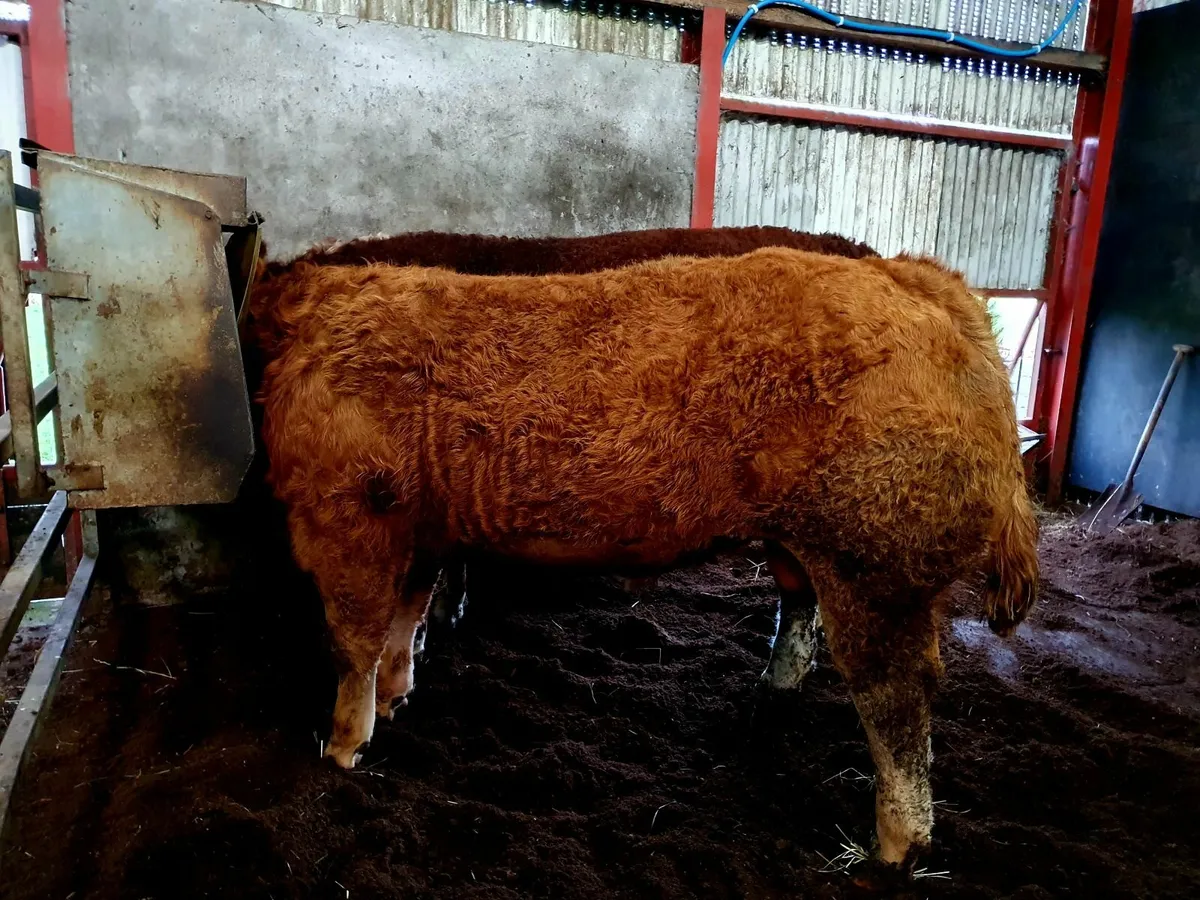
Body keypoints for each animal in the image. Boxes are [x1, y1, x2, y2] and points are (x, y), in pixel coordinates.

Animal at [249, 246, 1038, 873]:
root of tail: (913, 275)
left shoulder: (346, 518)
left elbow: (353, 641)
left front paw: (341, 749)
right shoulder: (418, 528)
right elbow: (402, 622)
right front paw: (395, 696)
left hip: (875, 560)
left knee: (896, 698)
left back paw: (895, 847)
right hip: (825, 550)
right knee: (808, 617)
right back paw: (775, 695)